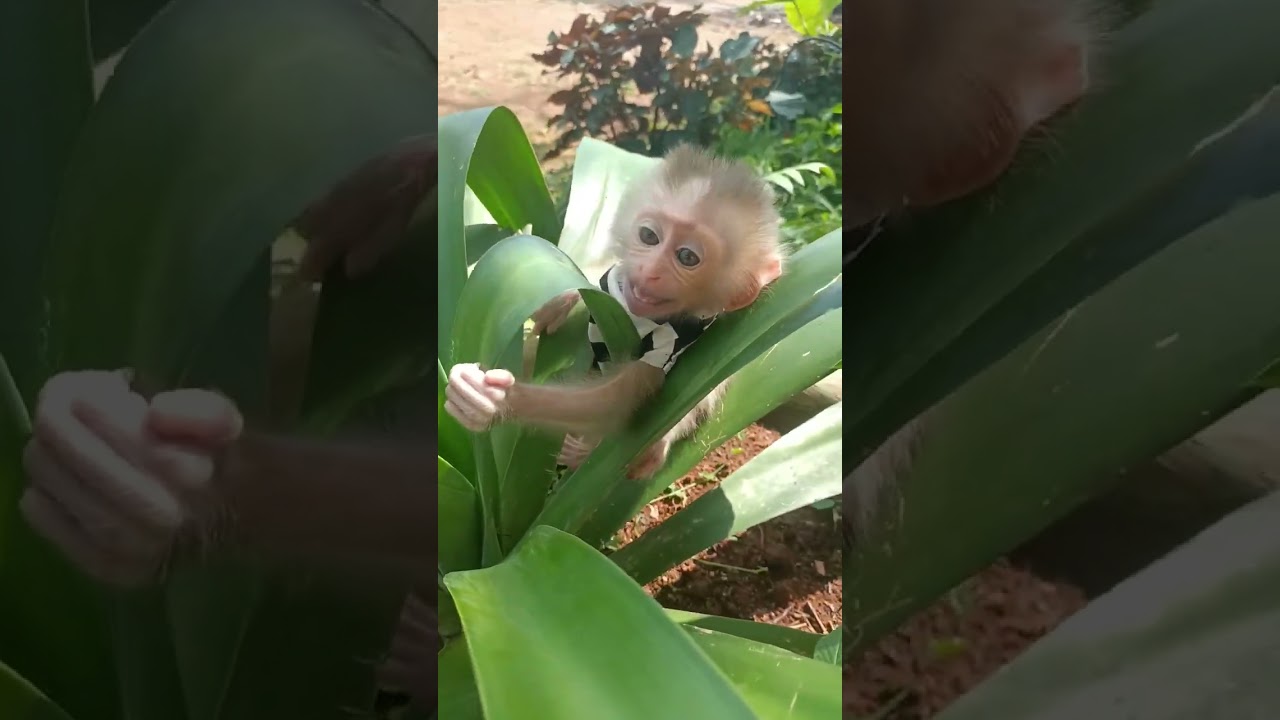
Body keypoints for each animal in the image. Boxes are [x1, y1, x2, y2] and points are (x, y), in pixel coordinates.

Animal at [444, 144, 785, 480]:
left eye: (687, 256)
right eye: (649, 236)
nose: (651, 270)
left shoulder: (675, 342)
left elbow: (615, 400)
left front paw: (497, 403)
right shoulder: (614, 285)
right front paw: (559, 300)